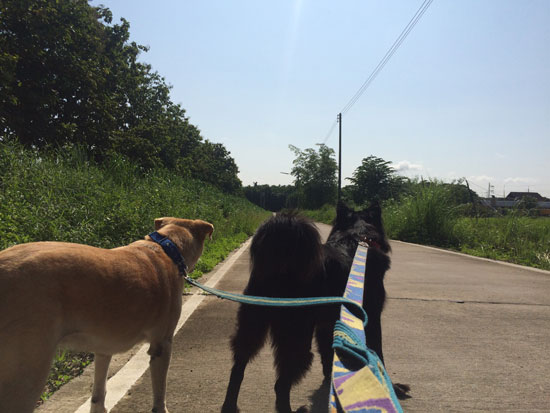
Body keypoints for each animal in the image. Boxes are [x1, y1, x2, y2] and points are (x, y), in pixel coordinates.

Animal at [0, 217, 215, 410]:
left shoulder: (103, 346)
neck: (167, 248)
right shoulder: (162, 344)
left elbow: (98, 394)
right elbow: (159, 396)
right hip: (26, 373)